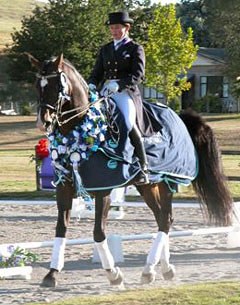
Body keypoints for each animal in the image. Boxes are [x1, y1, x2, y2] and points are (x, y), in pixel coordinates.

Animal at [26, 52, 232, 288]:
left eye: (56, 86)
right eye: (37, 85)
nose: (43, 122)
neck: (80, 129)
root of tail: (180, 116)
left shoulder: (103, 190)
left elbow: (98, 232)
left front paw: (113, 273)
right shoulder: (64, 186)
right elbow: (61, 228)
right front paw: (51, 274)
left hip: (167, 181)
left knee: (165, 220)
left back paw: (149, 268)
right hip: (148, 186)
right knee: (161, 218)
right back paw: (163, 268)